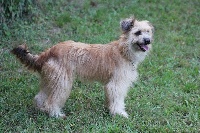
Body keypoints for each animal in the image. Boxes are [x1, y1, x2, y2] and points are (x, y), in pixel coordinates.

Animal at [11, 16, 154, 117]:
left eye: (148, 32)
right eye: (138, 32)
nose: (148, 41)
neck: (123, 51)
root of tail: (50, 50)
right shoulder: (116, 85)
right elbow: (117, 100)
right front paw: (119, 113)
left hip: (51, 80)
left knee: (40, 97)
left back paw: (41, 109)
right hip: (62, 83)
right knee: (51, 102)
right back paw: (56, 114)